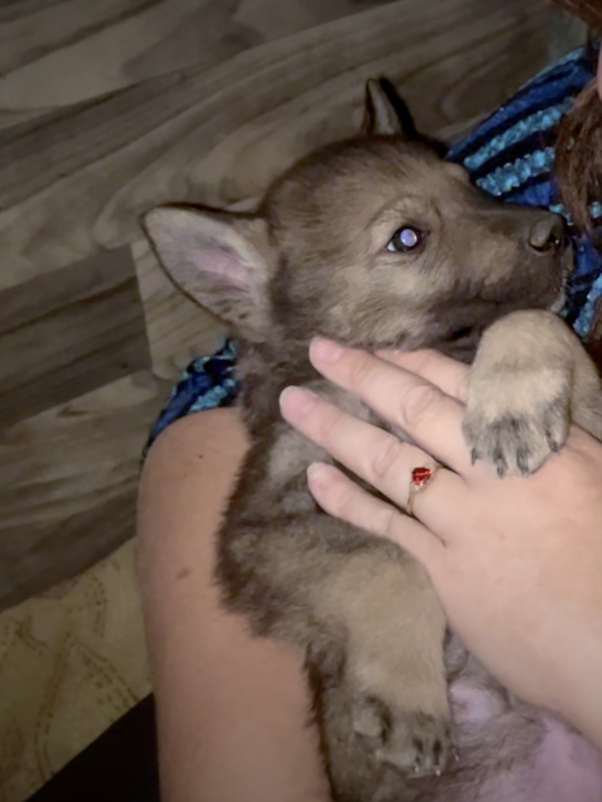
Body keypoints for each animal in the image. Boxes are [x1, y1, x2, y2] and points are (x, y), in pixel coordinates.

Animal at [143, 83, 600, 800]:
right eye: (407, 238)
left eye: (468, 184)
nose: (559, 232)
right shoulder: (260, 531)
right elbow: (385, 558)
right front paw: (408, 696)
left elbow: (532, 320)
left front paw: (513, 400)